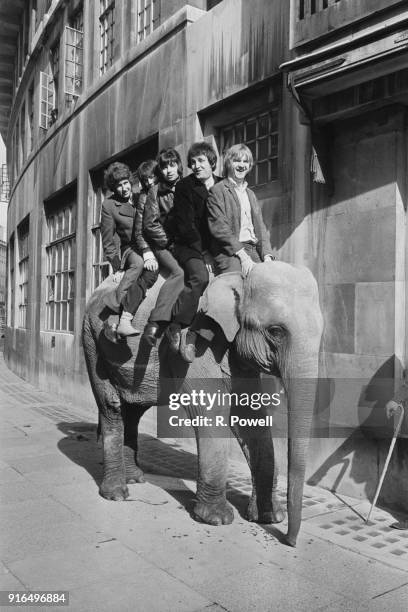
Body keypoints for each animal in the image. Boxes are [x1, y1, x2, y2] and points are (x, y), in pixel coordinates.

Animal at [83, 260, 324, 548]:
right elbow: (212, 409)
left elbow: (251, 412)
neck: (238, 278)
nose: (289, 541)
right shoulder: (193, 341)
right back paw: (117, 493)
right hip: (92, 340)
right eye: (276, 331)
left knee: (133, 410)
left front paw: (268, 517)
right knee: (112, 406)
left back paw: (135, 478)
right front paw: (217, 519)